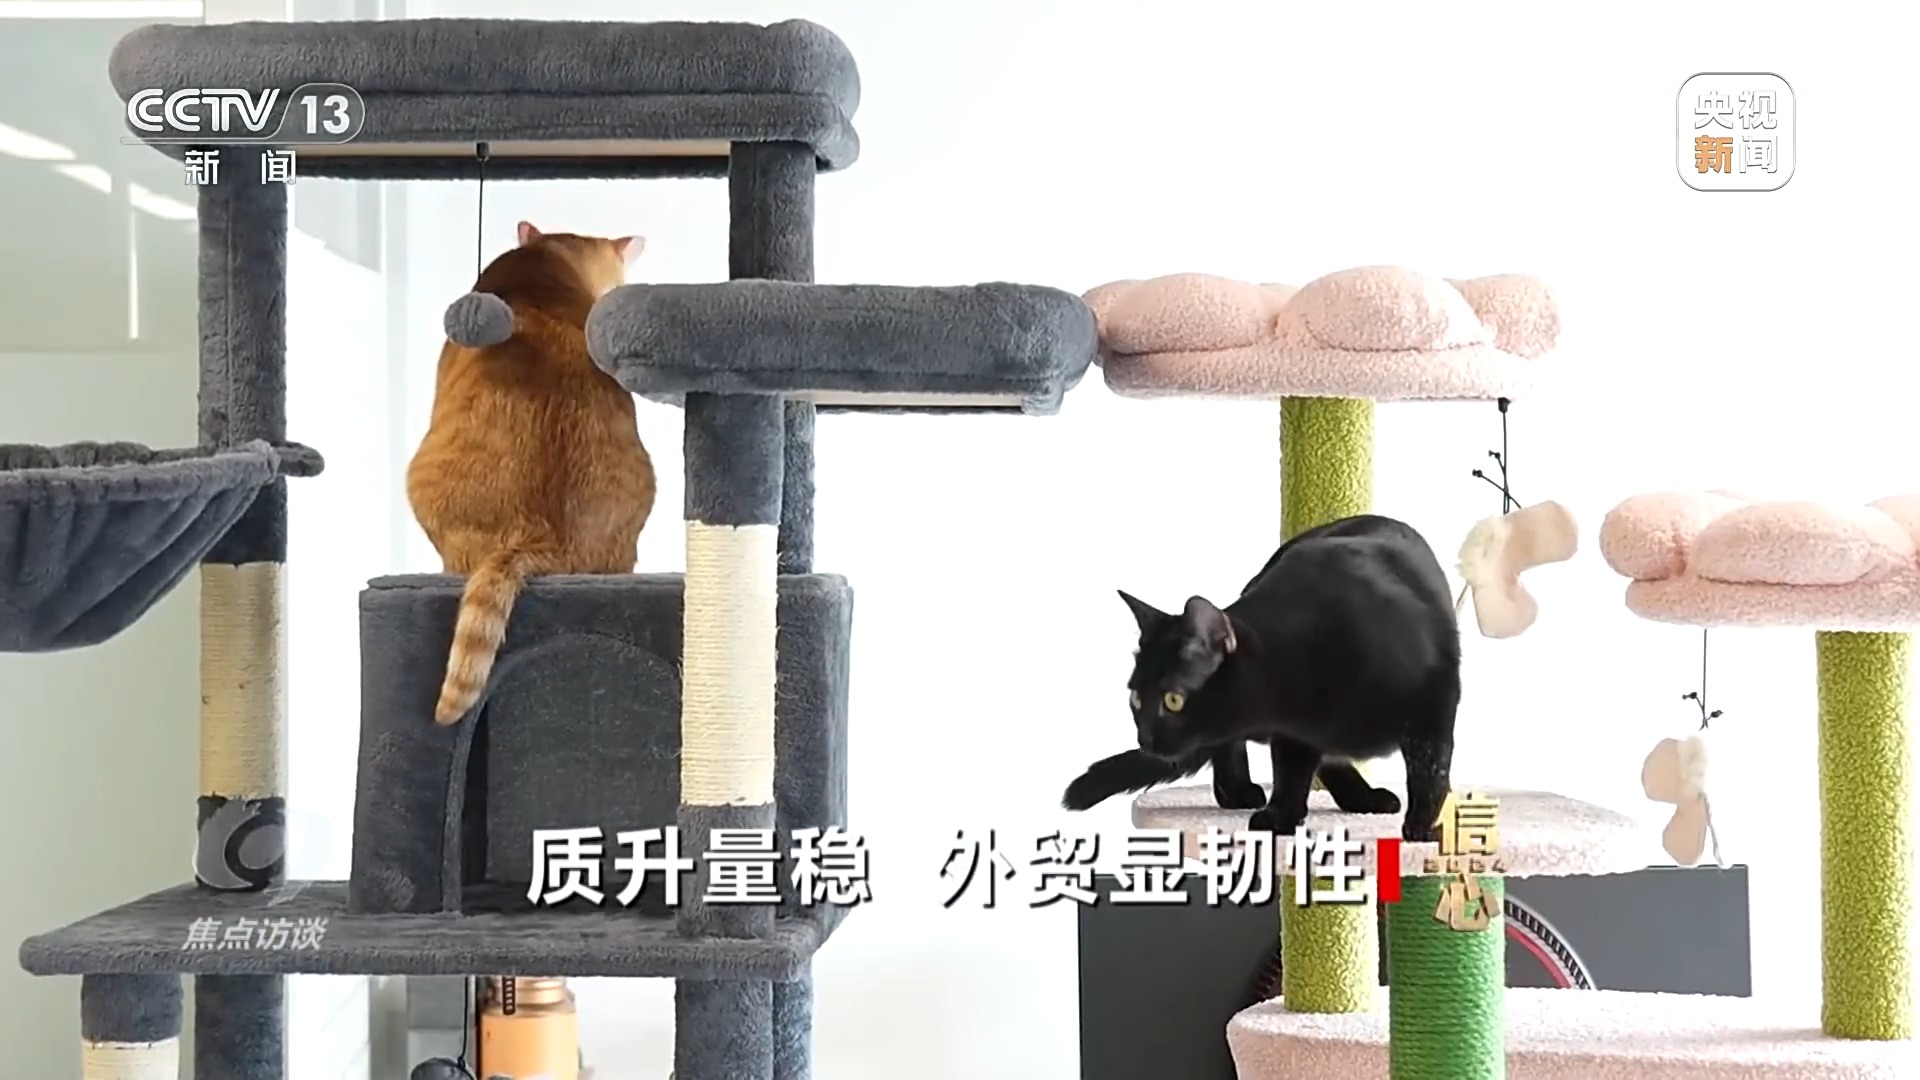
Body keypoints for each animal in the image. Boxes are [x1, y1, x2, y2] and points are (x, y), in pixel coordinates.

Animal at [1061, 514, 1461, 842]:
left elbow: (1431, 767)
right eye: (1135, 699)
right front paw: (1281, 816)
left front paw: (1425, 827)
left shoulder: (1434, 703)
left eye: (1173, 700)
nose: (1144, 739)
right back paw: (1241, 792)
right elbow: (1289, 771)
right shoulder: (1293, 732)